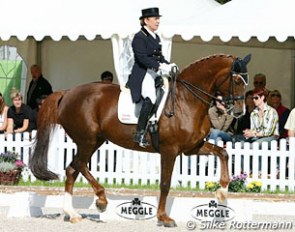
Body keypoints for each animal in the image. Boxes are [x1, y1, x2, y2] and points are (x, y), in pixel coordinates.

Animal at [30, 53, 252, 227]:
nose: (239, 112)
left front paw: (222, 191)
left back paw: (75, 212)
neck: (187, 101)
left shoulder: (192, 148)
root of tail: (67, 93)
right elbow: (165, 183)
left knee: (73, 169)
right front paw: (164, 218)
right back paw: (99, 200)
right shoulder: (170, 150)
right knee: (77, 165)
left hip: (94, 141)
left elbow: (223, 152)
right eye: (237, 81)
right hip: (87, 140)